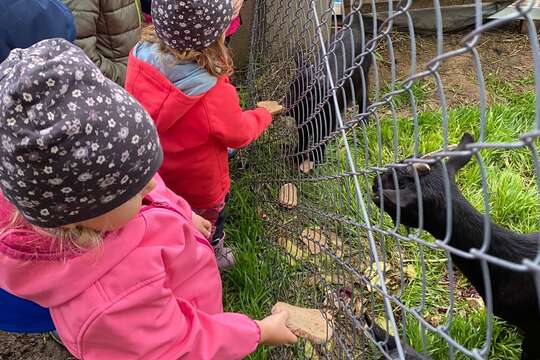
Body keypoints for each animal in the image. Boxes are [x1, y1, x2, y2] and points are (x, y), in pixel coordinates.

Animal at [282, 12, 372, 165]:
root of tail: (353, 27)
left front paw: (317, 160)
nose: (286, 106)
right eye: (291, 86)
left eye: (310, 95)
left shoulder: (328, 122)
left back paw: (363, 121)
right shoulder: (302, 123)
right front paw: (296, 156)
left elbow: (321, 141)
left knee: (364, 97)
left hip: (361, 80)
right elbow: (303, 138)